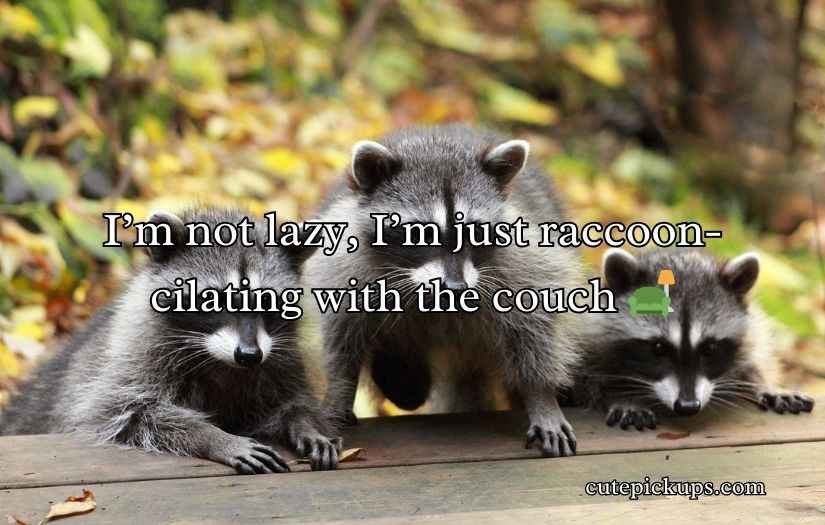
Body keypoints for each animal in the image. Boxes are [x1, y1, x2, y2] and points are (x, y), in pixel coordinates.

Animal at [0, 208, 341, 472]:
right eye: (214, 300)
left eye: (268, 302)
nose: (249, 355)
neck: (219, 360)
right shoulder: (134, 357)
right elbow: (130, 413)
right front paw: (213, 436)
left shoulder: (281, 359)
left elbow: (290, 402)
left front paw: (304, 422)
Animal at [305, 125, 584, 457]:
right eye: (419, 233)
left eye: (474, 231)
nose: (456, 287)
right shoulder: (344, 263)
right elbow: (342, 338)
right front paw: (340, 391)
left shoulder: (521, 262)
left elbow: (534, 326)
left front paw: (541, 396)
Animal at [577, 248, 815, 430]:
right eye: (658, 348)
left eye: (709, 349)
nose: (688, 406)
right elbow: (593, 376)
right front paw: (624, 396)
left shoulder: (751, 328)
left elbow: (753, 354)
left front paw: (765, 383)